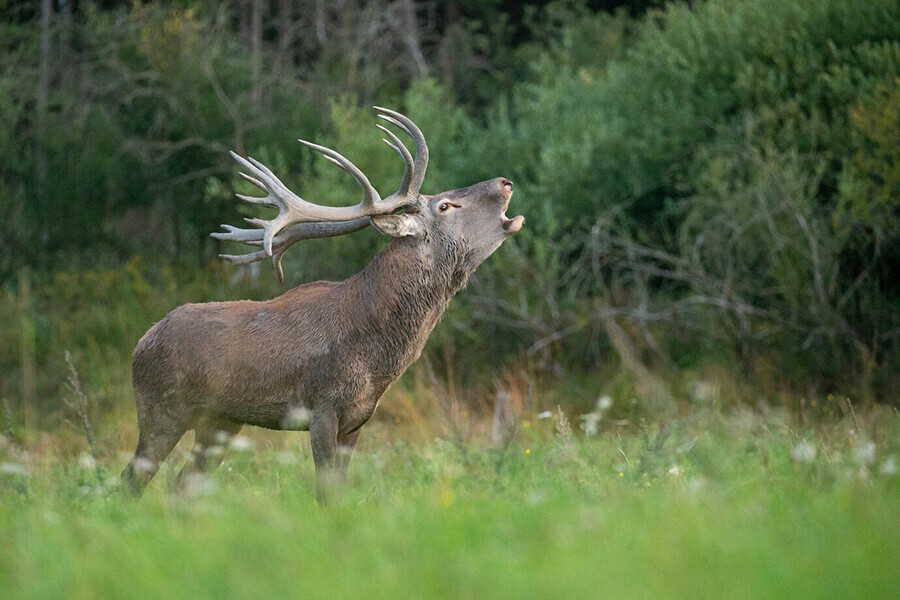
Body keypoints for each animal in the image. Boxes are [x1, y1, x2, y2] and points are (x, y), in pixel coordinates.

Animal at [123, 109, 524, 502]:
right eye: (444, 205)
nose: (505, 181)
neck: (377, 359)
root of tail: (141, 343)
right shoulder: (321, 406)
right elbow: (324, 491)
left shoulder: (358, 419)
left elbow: (340, 490)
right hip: (162, 409)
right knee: (132, 478)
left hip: (220, 422)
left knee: (182, 483)